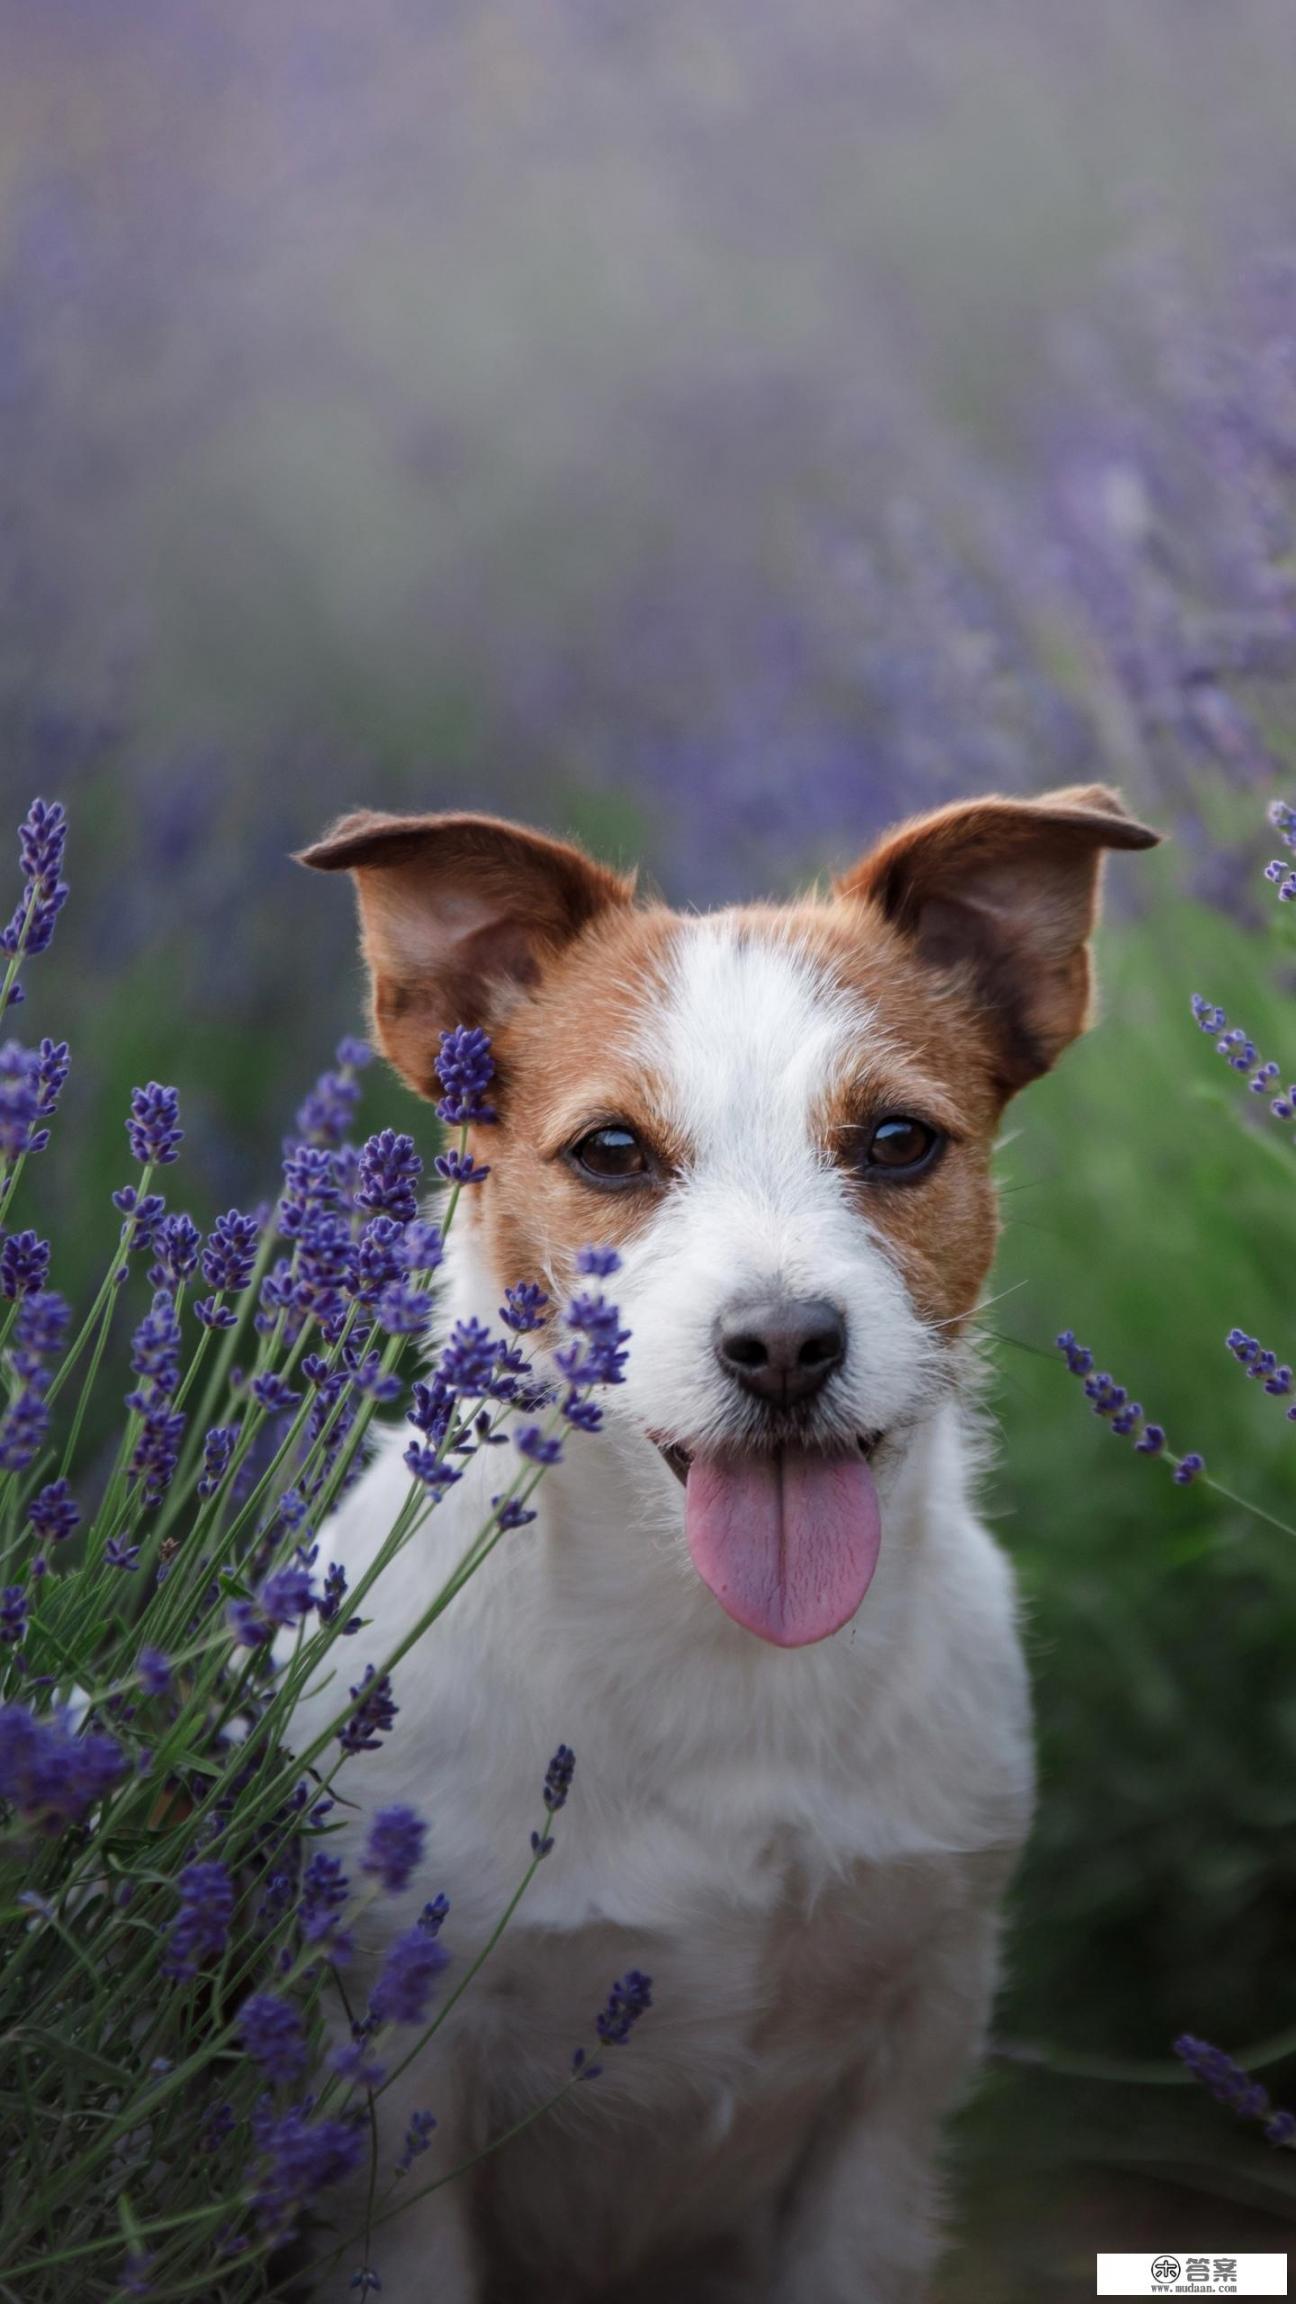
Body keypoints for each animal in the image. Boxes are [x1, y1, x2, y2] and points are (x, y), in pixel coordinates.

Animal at [290, 783, 1148, 2294]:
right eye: (611, 1151)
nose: (786, 1344)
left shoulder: (897, 2087)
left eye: (898, 1142)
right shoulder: (396, 2101)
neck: (724, 1655)